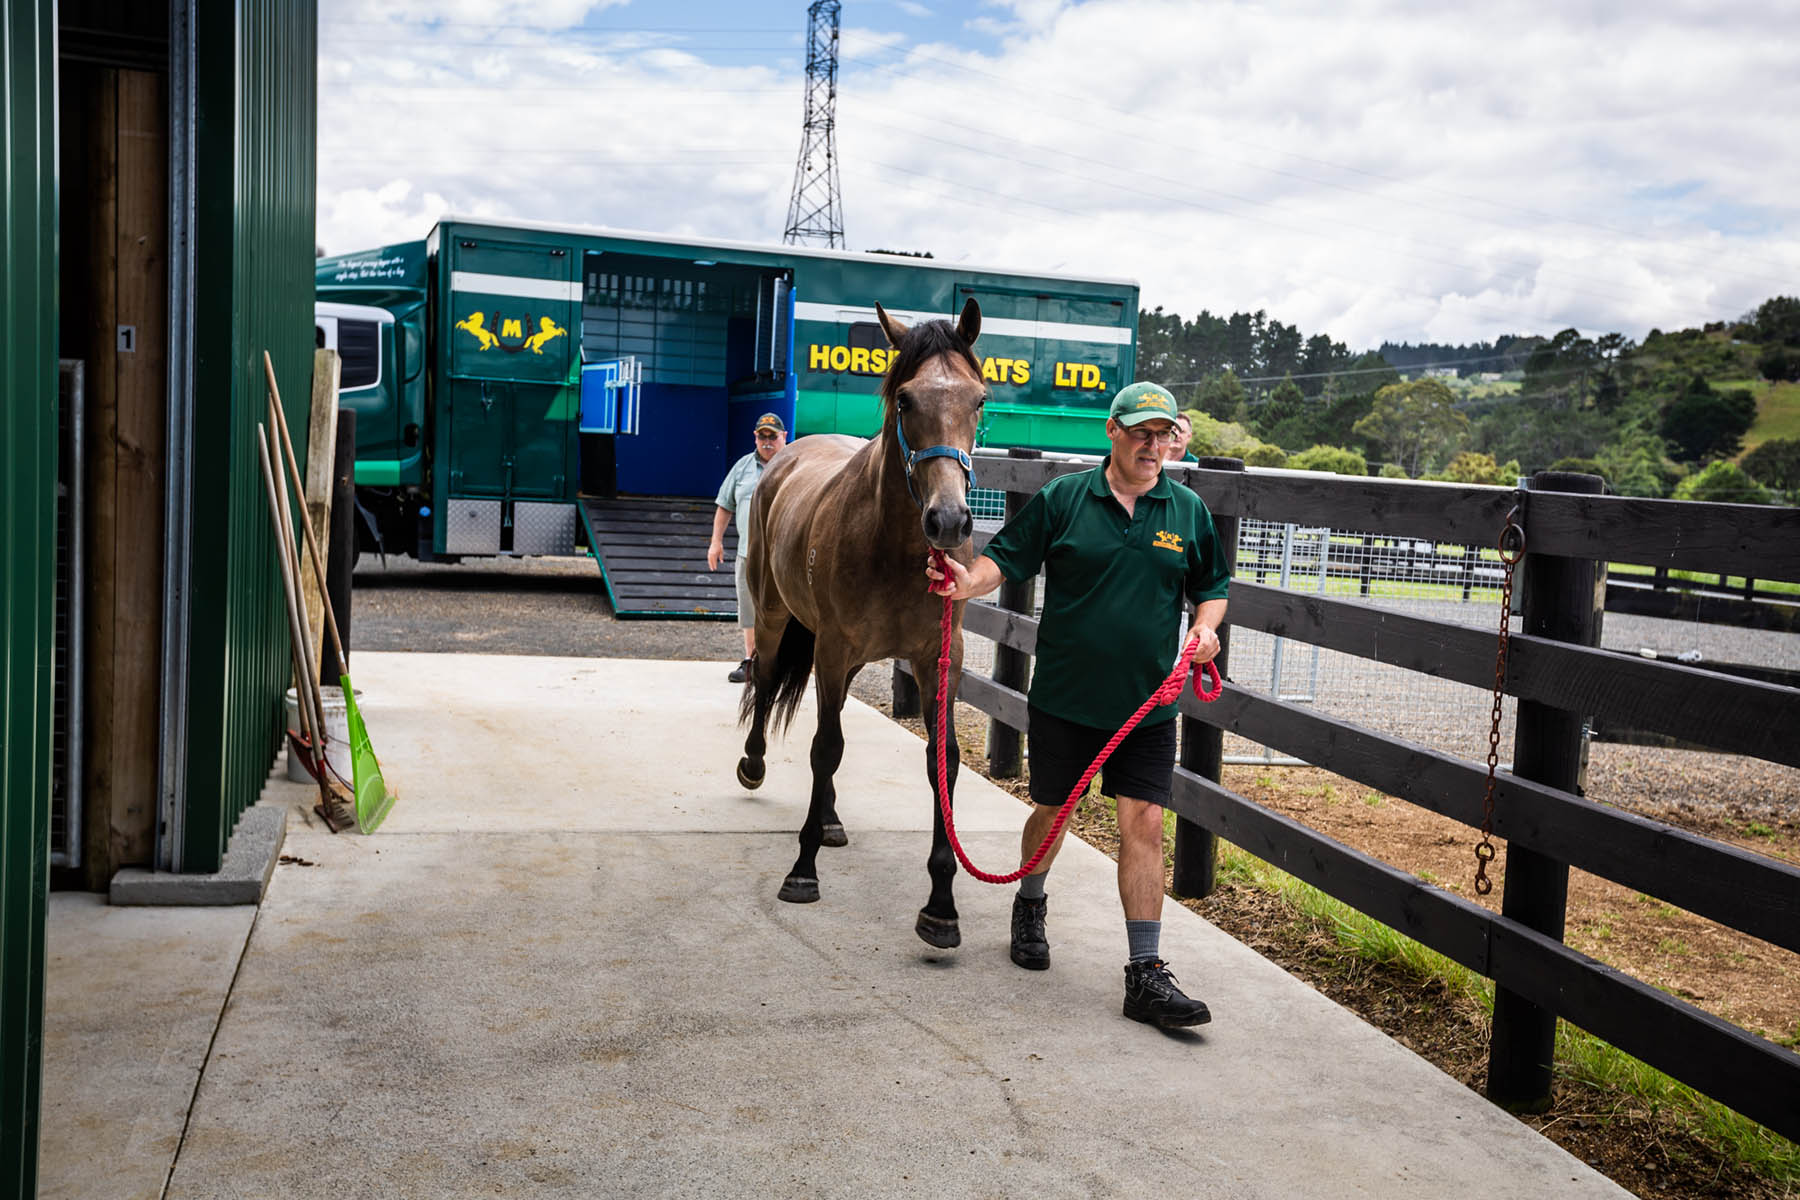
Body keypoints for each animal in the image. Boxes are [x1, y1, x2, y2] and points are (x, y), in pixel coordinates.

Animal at [735, 298, 984, 950]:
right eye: (906, 401)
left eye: (978, 399)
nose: (949, 521)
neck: (893, 544)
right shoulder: (831, 647)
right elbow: (825, 747)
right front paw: (801, 871)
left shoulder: (938, 658)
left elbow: (941, 762)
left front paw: (941, 907)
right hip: (777, 618)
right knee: (766, 681)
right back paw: (754, 765)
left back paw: (828, 818)